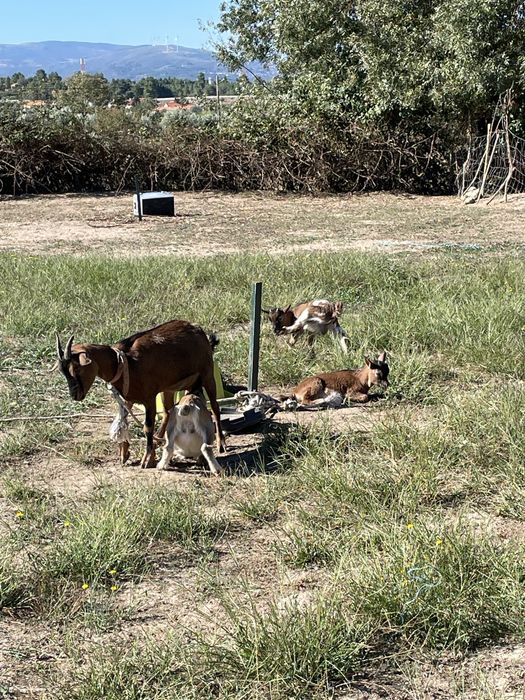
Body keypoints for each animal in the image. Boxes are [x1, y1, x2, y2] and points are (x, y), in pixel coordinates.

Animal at [55, 320, 226, 468]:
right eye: (62, 371)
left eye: (77, 368)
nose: (75, 395)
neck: (125, 362)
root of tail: (197, 329)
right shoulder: (126, 399)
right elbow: (122, 421)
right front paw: (124, 454)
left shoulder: (149, 398)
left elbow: (147, 427)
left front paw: (146, 459)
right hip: (169, 388)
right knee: (168, 412)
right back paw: (160, 440)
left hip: (208, 374)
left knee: (215, 407)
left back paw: (221, 443)